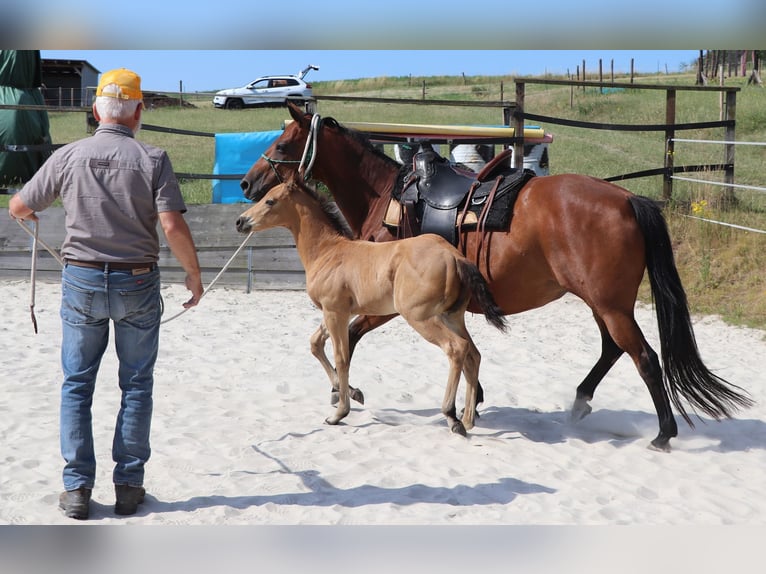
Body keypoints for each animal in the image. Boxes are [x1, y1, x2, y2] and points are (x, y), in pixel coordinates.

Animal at [235, 176, 508, 435]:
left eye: (270, 201)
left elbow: (341, 356)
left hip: (421, 317)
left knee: (456, 348)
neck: (328, 251)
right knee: (473, 354)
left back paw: (452, 416)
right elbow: (315, 344)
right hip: (451, 316)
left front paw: (339, 413)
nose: (240, 221)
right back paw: (468, 419)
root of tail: (455, 256)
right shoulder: (338, 312)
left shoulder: (335, 312)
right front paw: (350, 392)